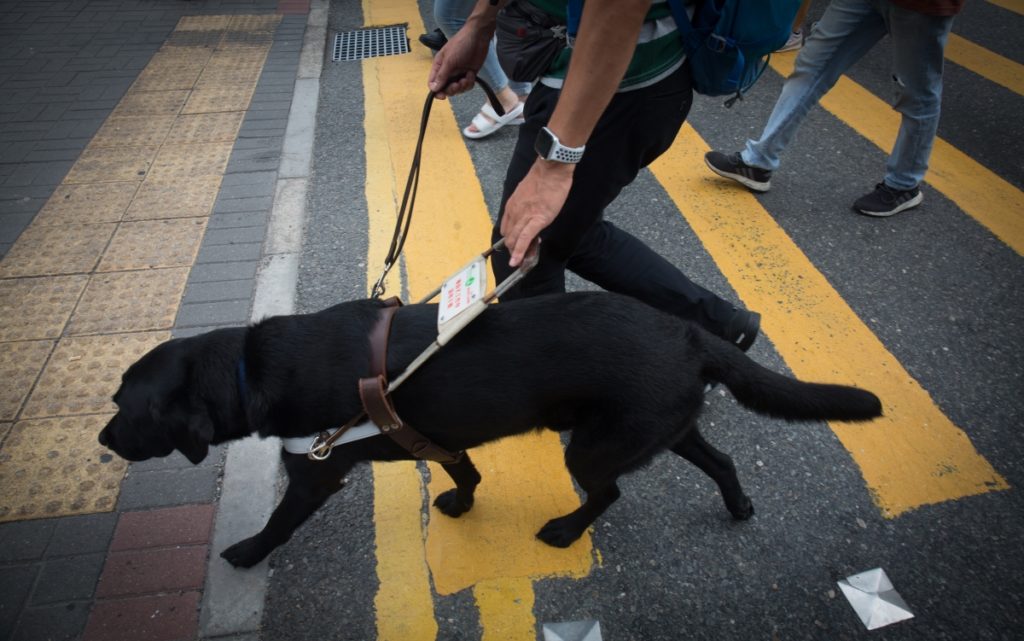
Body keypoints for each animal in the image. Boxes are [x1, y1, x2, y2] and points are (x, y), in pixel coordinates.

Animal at [97, 288, 880, 565]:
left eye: (125, 407)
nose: (101, 441)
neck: (249, 367)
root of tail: (688, 332)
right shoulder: (435, 437)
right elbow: (463, 469)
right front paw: (463, 501)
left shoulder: (317, 473)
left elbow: (283, 521)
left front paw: (249, 550)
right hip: (660, 426)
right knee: (718, 459)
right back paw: (739, 505)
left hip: (596, 447)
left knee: (608, 492)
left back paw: (564, 530)